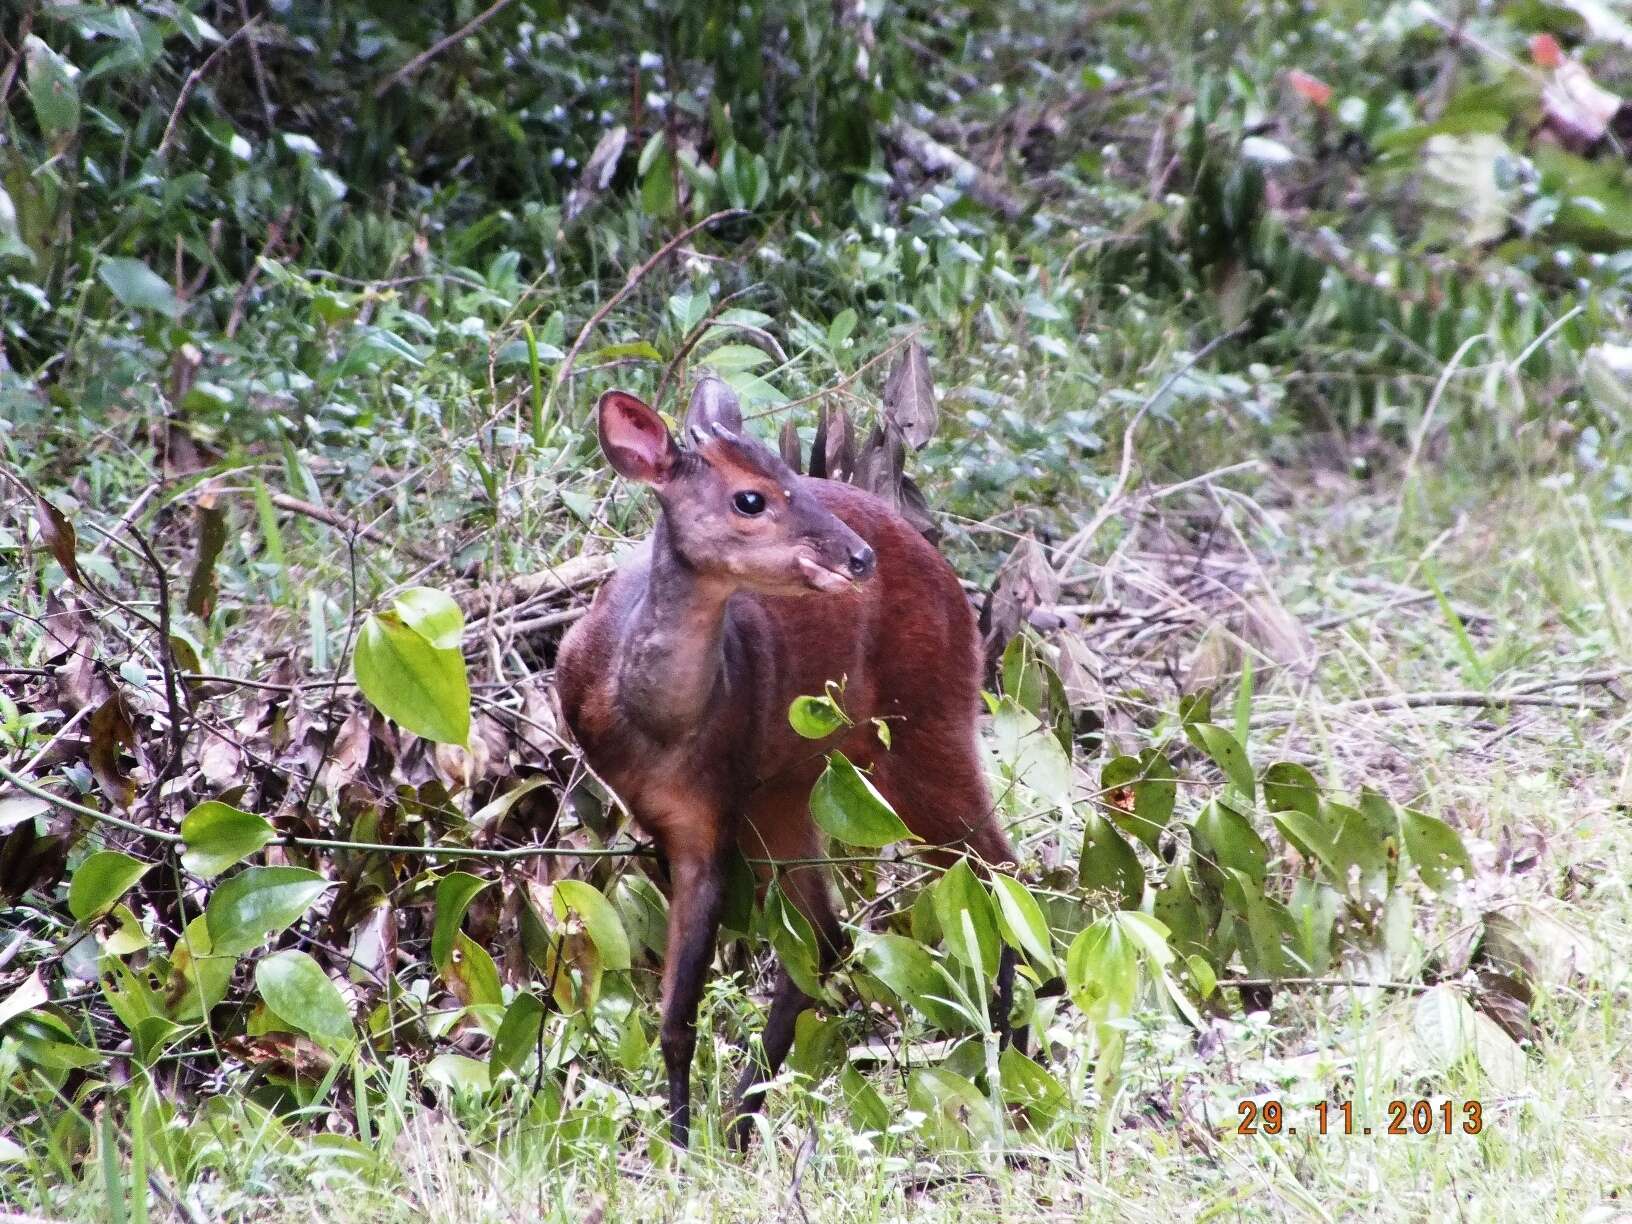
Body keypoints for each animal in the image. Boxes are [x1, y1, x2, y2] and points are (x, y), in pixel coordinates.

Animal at [554, 381, 1011, 1148]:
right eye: (751, 497)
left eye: (792, 475)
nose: (858, 558)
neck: (649, 721)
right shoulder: (682, 814)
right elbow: (675, 1017)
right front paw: (684, 1140)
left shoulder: (711, 808)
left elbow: (680, 1014)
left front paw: (679, 1147)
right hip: (790, 785)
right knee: (827, 934)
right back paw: (743, 1121)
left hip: (926, 724)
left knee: (996, 872)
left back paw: (1010, 1068)